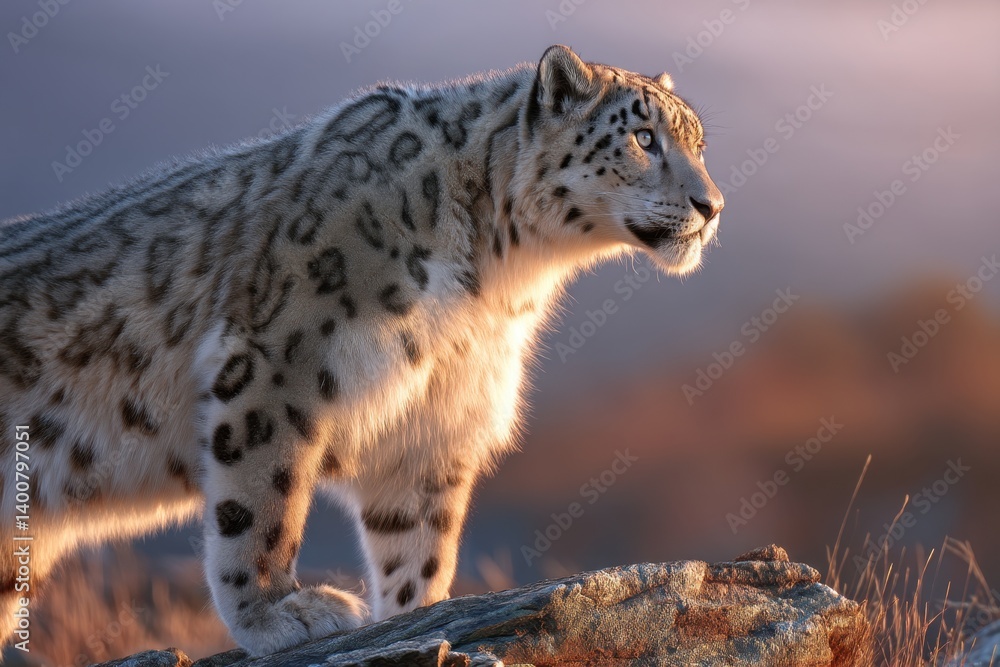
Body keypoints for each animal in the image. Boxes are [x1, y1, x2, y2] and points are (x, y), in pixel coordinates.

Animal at [0, 45, 723, 656]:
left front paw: (412, 616)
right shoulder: (276, 367)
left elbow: (419, 544)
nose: (711, 205)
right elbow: (261, 500)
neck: (499, 284)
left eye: (699, 143)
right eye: (642, 137)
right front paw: (275, 612)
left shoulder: (435, 421)